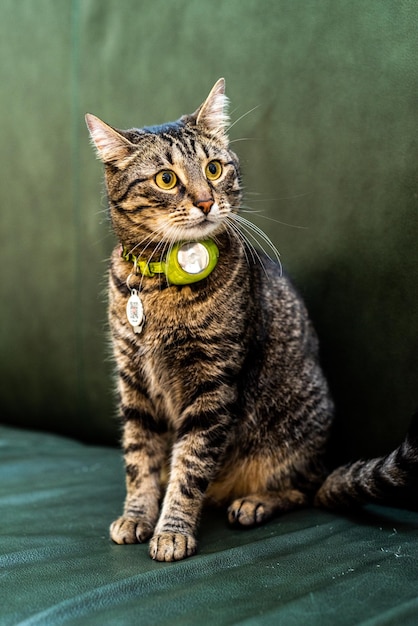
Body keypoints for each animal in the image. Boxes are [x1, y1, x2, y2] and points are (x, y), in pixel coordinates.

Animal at [85, 78, 418, 560]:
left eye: (214, 169)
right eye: (166, 178)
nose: (206, 202)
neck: (159, 284)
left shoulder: (212, 386)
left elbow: (189, 467)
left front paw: (172, 530)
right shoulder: (134, 384)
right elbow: (140, 459)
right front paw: (137, 515)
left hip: (294, 432)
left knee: (304, 488)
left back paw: (254, 503)